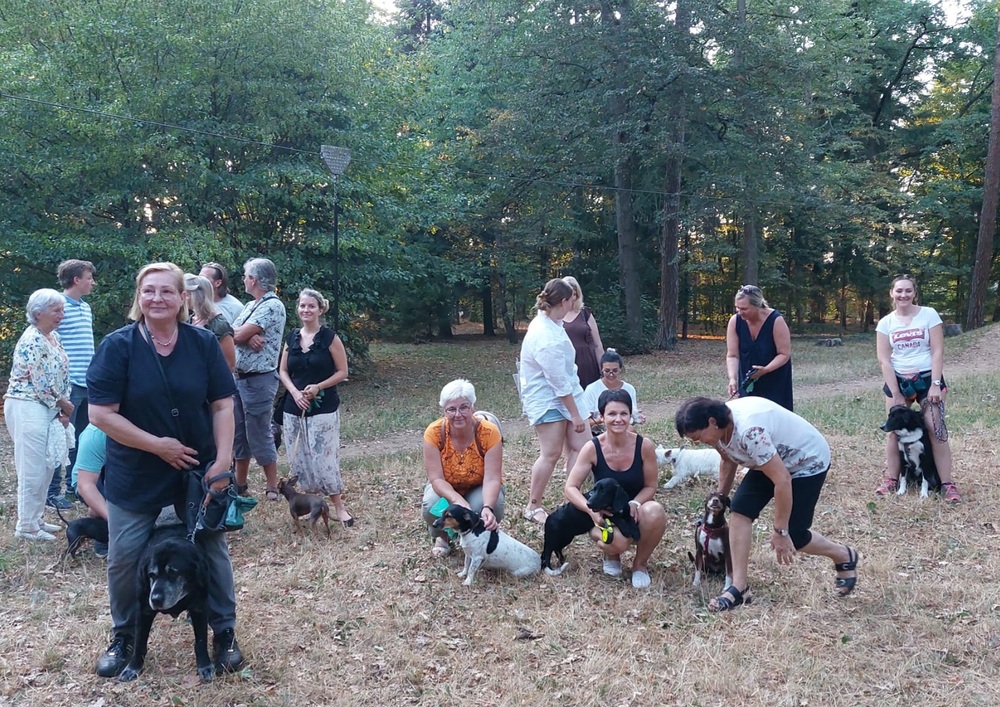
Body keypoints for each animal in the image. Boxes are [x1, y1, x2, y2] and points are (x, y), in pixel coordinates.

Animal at [119, 527, 213, 683]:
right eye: (151, 575)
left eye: (174, 573)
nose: (155, 599)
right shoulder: (143, 610)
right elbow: (139, 642)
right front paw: (133, 667)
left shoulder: (200, 608)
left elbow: (201, 641)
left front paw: (205, 666)